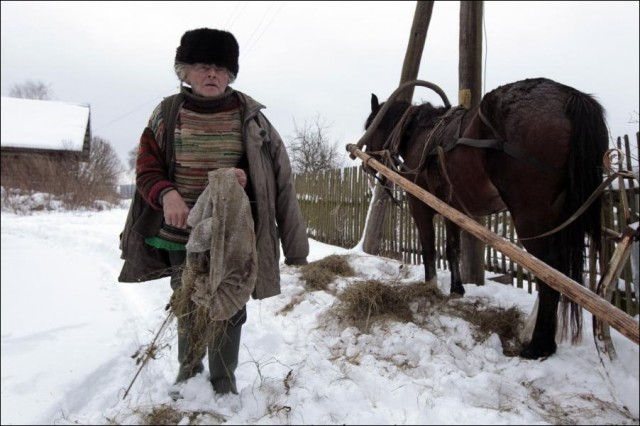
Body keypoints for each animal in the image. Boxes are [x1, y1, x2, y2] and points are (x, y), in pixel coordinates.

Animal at [362, 77, 608, 360]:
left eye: (371, 125)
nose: (367, 164)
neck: (419, 135)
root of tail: (569, 97)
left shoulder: (420, 204)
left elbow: (429, 249)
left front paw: (429, 288)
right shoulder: (453, 208)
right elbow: (452, 248)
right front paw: (456, 290)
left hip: (530, 215)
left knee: (549, 269)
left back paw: (538, 344)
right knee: (559, 272)